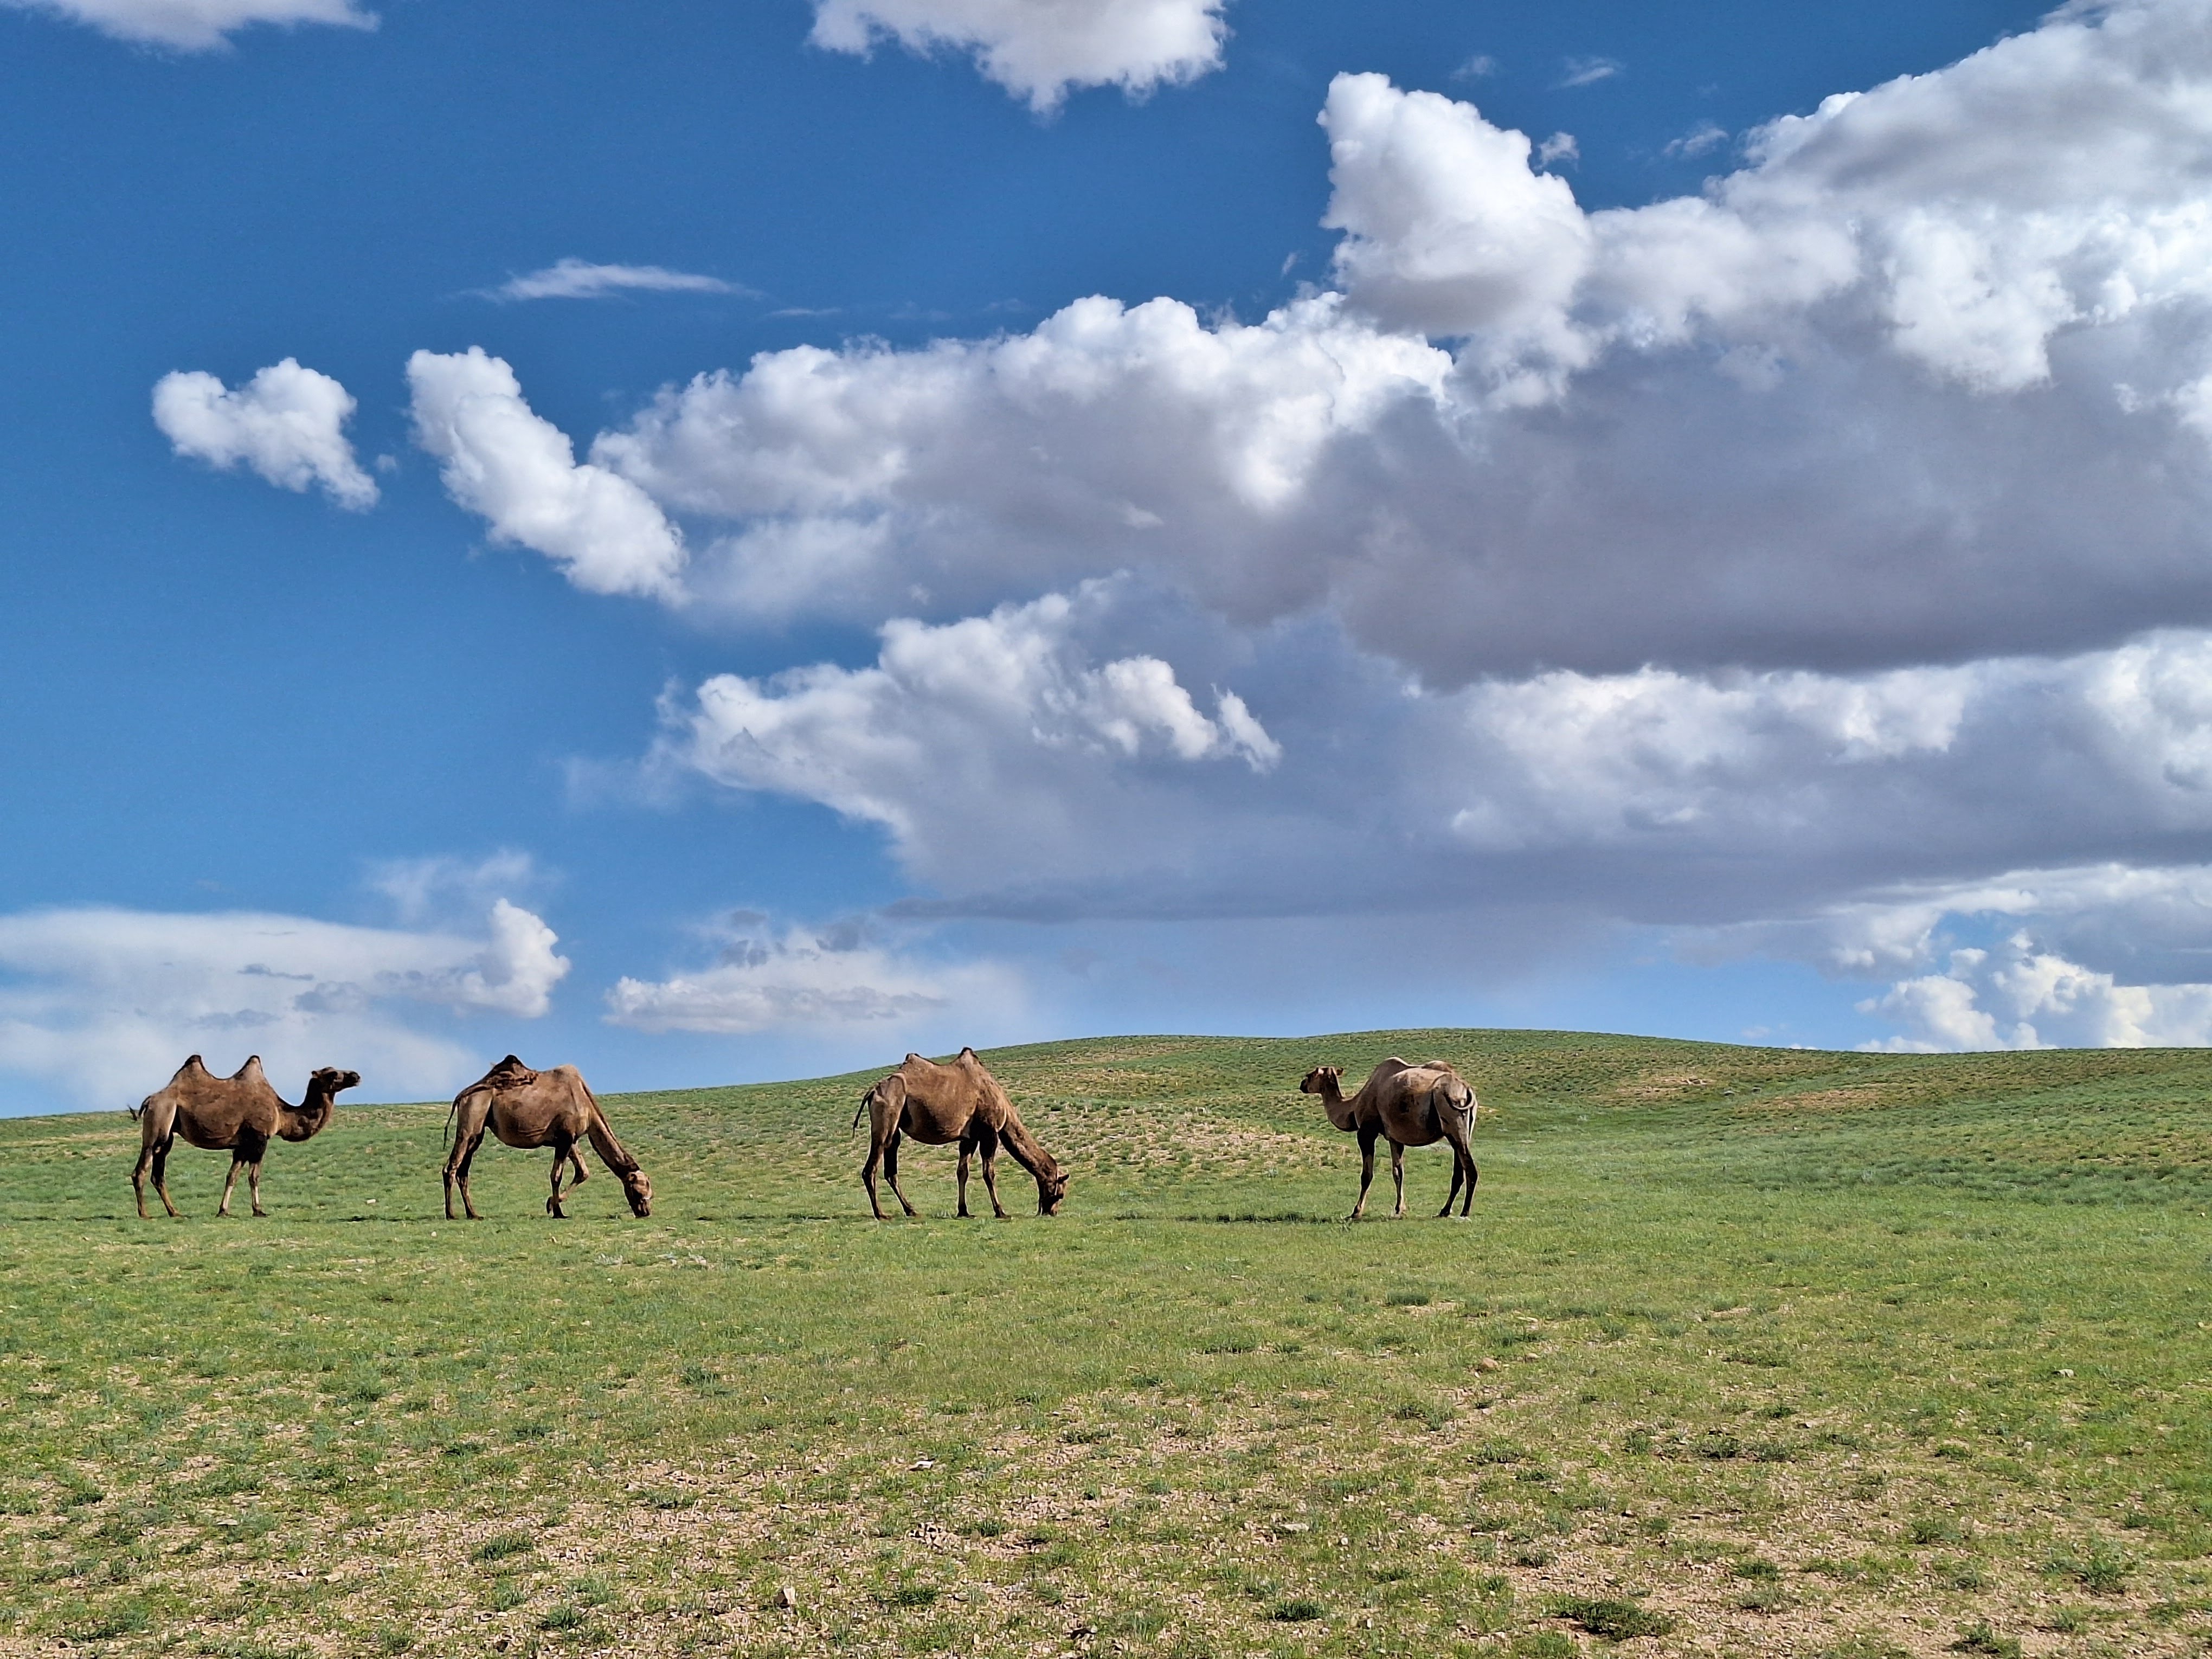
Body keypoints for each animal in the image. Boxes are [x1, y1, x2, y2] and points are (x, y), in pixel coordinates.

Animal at [129, 1066, 356, 1221]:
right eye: (332, 1074)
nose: (356, 1076)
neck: (282, 1114)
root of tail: (149, 1100)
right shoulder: (260, 1139)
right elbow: (254, 1176)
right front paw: (259, 1210)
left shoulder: (242, 1146)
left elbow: (232, 1176)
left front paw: (223, 1211)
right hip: (159, 1121)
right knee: (141, 1170)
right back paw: (145, 1214)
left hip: (168, 1135)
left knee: (158, 1174)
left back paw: (175, 1212)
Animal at [438, 1066, 646, 1221]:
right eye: (639, 1193)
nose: (645, 1212)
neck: (586, 1104)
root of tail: (461, 1096)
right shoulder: (565, 1138)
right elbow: (556, 1176)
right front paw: (558, 1212)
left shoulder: (570, 1140)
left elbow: (583, 1172)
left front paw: (551, 1205)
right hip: (471, 1120)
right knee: (452, 1167)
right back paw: (451, 1214)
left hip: (478, 1132)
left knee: (463, 1171)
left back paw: (473, 1214)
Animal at [849, 1053, 1066, 1221]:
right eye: (1060, 1193)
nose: (1052, 1212)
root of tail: (873, 1091)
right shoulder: (989, 1132)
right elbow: (989, 1173)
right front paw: (1001, 1212)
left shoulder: (969, 1138)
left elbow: (962, 1172)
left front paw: (964, 1212)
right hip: (886, 1117)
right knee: (871, 1168)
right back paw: (881, 1214)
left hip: (895, 1129)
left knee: (891, 1169)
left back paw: (911, 1211)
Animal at [1301, 1066, 1477, 1221]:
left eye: (1310, 1075)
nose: (1302, 1085)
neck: (1353, 1105)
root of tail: (1467, 1090)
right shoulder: (1394, 1139)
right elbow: (1398, 1172)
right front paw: (1399, 1209)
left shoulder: (1366, 1132)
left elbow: (1366, 1175)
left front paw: (1356, 1212)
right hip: (1461, 1129)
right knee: (1459, 1172)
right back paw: (1444, 1211)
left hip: (1453, 1119)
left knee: (1470, 1169)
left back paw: (1465, 1212)